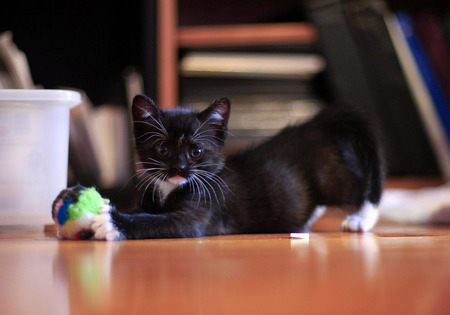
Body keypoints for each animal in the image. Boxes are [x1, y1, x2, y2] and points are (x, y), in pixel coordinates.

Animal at [55, 95, 384, 241]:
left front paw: (110, 222)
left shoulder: (200, 213)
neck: (170, 187)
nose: (179, 166)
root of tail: (314, 123)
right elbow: (144, 212)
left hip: (332, 180)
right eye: (162, 150)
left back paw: (361, 218)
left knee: (360, 185)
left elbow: (156, 222)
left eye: (196, 151)